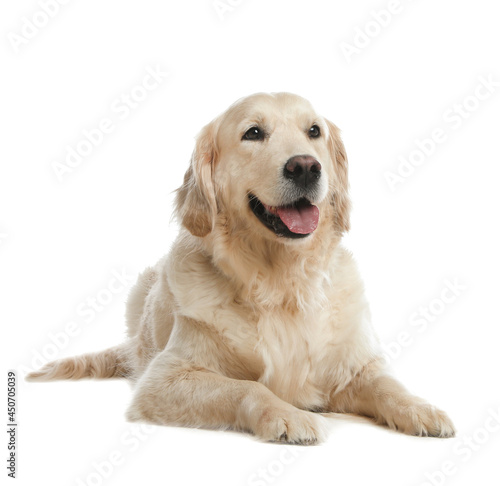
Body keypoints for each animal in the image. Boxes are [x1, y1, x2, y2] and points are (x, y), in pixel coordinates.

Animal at [28, 92, 458, 444]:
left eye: (314, 131)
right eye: (253, 133)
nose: (306, 166)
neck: (281, 283)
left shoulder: (353, 367)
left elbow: (387, 384)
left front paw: (421, 408)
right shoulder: (164, 378)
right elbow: (247, 388)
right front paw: (288, 415)